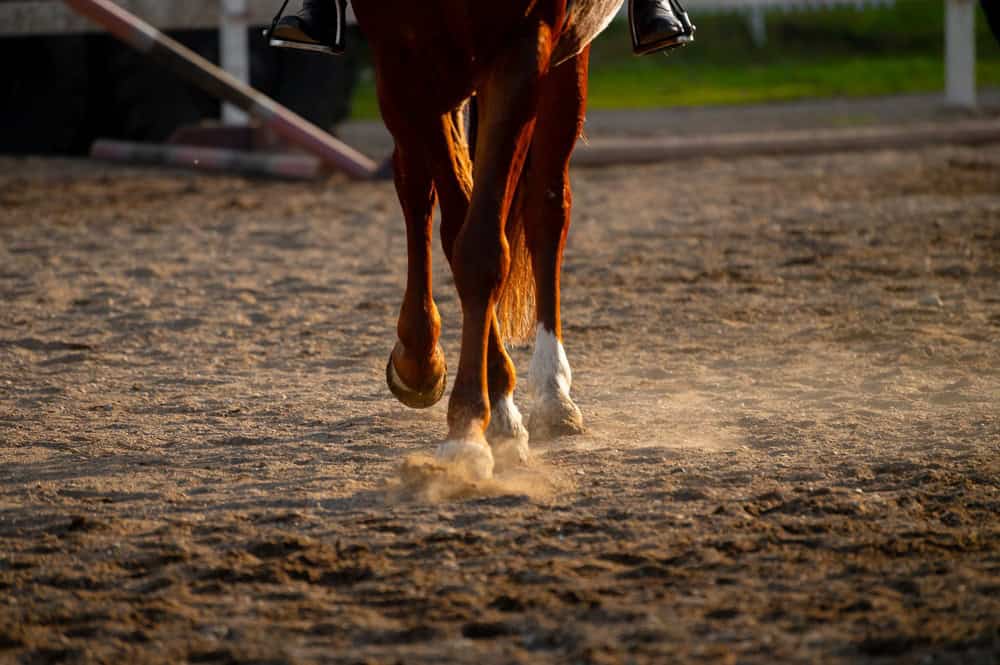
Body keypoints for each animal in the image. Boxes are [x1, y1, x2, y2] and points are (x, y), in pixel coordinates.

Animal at [351, 0, 623, 479]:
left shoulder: (523, 49)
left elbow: (481, 247)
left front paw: (473, 428)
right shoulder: (403, 62)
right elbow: (456, 223)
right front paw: (480, 404)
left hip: (564, 63)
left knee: (547, 207)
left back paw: (553, 391)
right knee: (415, 185)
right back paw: (418, 356)